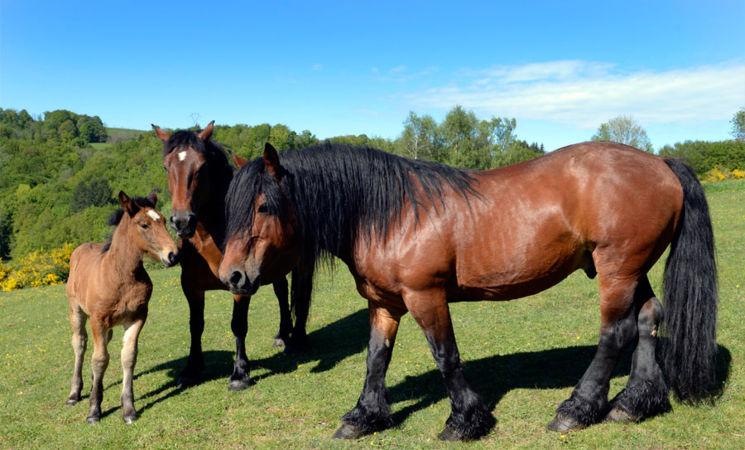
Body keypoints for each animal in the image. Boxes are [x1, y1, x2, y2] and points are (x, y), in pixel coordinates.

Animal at [64, 192, 178, 424]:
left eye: (163, 220)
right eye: (144, 224)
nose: (173, 255)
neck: (120, 275)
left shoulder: (137, 317)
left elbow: (128, 357)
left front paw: (128, 409)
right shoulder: (97, 319)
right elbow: (100, 359)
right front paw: (94, 411)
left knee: (103, 344)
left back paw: (93, 384)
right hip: (76, 311)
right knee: (80, 344)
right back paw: (74, 394)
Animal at [151, 123, 314, 390]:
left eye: (202, 167)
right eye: (166, 167)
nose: (182, 221)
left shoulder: (240, 282)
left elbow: (238, 325)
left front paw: (240, 372)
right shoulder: (191, 286)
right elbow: (195, 325)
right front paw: (192, 368)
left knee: (302, 292)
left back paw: (299, 337)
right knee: (282, 292)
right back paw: (283, 334)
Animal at [218, 142, 716, 442]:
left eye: (264, 206)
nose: (232, 277)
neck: (390, 213)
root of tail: (659, 163)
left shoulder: (425, 296)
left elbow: (446, 356)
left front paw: (464, 420)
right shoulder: (384, 303)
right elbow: (375, 359)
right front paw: (364, 416)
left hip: (616, 268)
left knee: (615, 333)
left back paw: (577, 409)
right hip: (631, 269)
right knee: (648, 319)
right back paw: (633, 404)